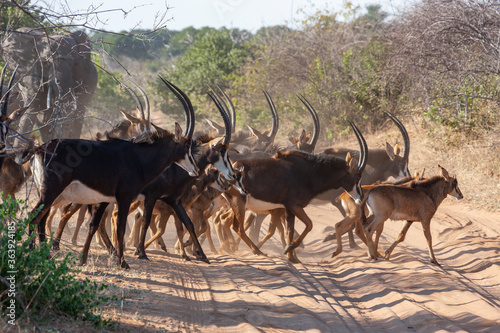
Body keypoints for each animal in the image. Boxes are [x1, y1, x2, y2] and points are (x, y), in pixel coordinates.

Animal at [27, 75, 199, 268]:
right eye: (187, 145)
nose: (195, 170)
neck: (138, 157)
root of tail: (39, 149)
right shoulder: (125, 197)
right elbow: (121, 228)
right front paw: (123, 263)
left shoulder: (103, 199)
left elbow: (94, 225)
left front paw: (83, 259)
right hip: (51, 192)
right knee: (34, 217)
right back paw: (32, 254)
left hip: (48, 194)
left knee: (41, 219)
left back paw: (46, 256)